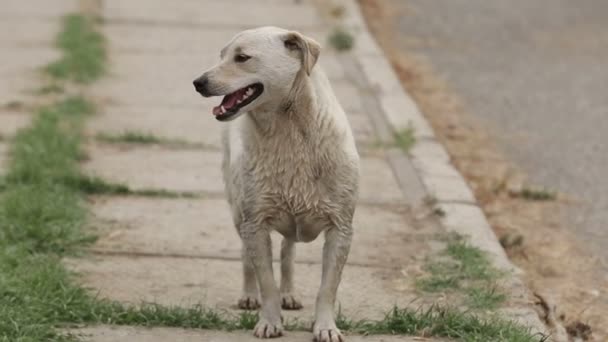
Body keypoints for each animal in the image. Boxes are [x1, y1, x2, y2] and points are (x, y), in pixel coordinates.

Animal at [192, 27, 358, 342]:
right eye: (222, 55)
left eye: (242, 57)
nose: (198, 82)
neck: (287, 131)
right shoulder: (255, 223)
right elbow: (266, 281)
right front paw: (269, 322)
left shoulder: (341, 228)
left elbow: (327, 288)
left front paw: (325, 327)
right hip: (238, 210)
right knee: (247, 257)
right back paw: (249, 295)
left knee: (288, 251)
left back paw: (289, 294)